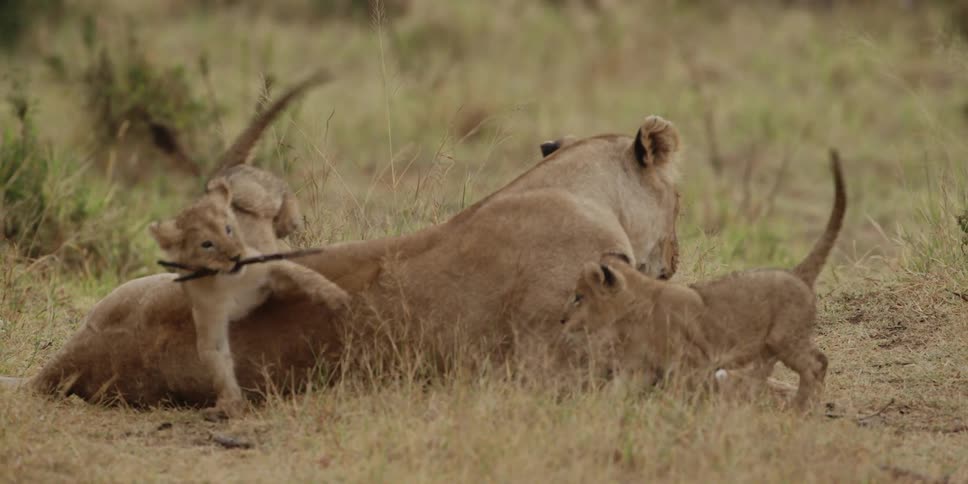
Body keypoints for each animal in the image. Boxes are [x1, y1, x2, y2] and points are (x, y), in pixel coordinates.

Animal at [148, 178, 348, 418]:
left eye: (228, 229)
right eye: (207, 244)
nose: (236, 257)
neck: (227, 282)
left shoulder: (268, 267)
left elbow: (303, 275)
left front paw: (336, 297)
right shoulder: (209, 317)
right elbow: (217, 363)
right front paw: (229, 404)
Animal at [561, 151, 845, 410]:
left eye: (578, 297)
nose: (562, 320)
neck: (633, 309)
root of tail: (796, 274)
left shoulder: (691, 360)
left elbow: (680, 392)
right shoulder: (640, 366)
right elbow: (617, 392)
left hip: (785, 338)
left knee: (817, 363)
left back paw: (802, 407)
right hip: (769, 348)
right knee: (768, 373)